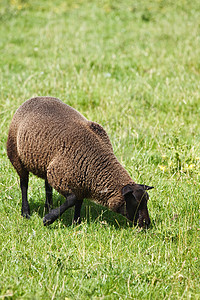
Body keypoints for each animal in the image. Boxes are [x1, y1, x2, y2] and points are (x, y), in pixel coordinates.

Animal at [6, 96, 153, 227]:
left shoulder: (81, 182)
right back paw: (26, 212)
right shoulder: (63, 177)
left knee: (47, 185)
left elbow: (78, 201)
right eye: (135, 203)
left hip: (47, 164)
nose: (147, 224)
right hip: (16, 156)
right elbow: (72, 200)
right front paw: (48, 219)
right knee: (24, 184)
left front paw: (76, 222)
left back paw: (48, 206)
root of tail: (34, 98)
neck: (96, 163)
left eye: (146, 201)